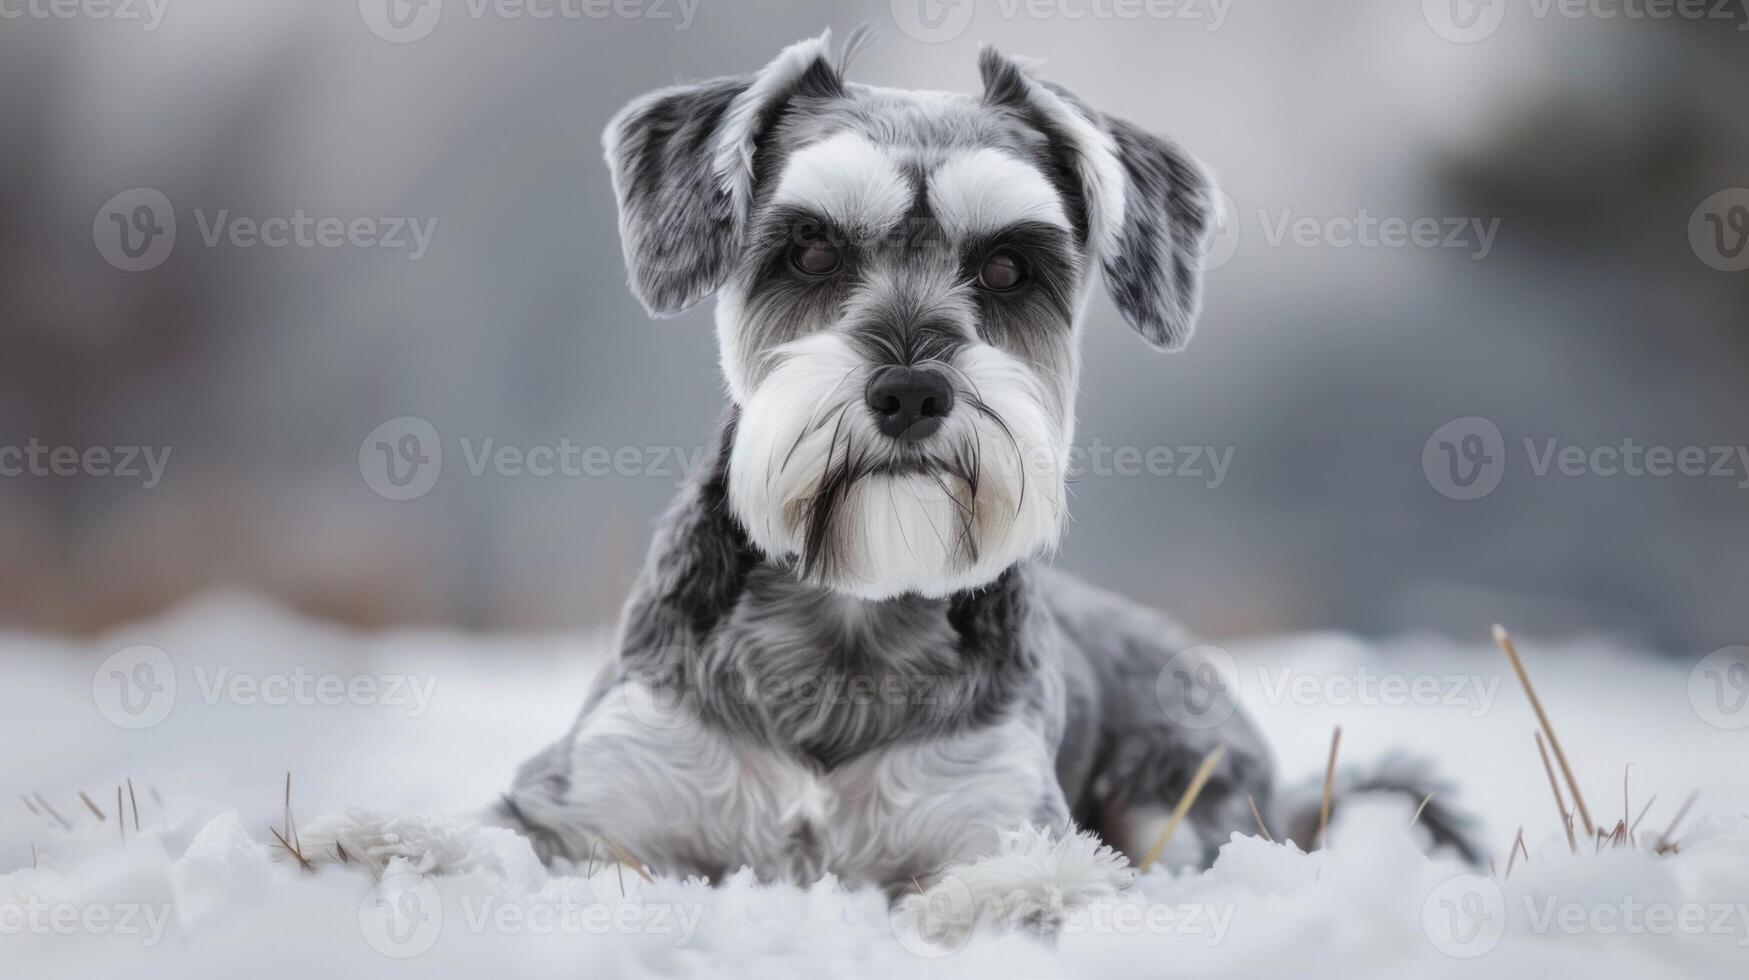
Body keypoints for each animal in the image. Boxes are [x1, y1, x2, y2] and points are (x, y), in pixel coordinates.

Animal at [468, 28, 1476, 917]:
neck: (850, 620)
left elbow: (1013, 880)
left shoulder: (998, 819)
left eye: (1006, 267)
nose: (911, 392)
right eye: (810, 249)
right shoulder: (585, 803)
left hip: (1180, 801)